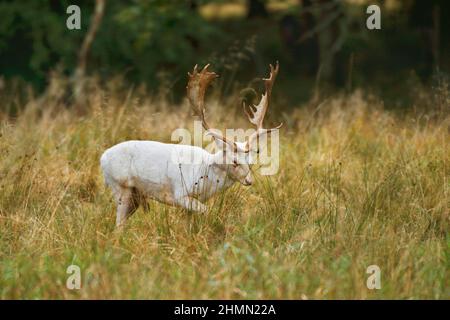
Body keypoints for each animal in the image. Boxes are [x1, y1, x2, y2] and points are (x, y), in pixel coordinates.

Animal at [101, 62, 282, 226]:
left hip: (135, 195)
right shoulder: (180, 194)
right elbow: (206, 212)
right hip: (120, 187)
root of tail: (102, 158)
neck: (206, 173)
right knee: (119, 224)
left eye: (251, 163)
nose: (249, 181)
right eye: (235, 161)